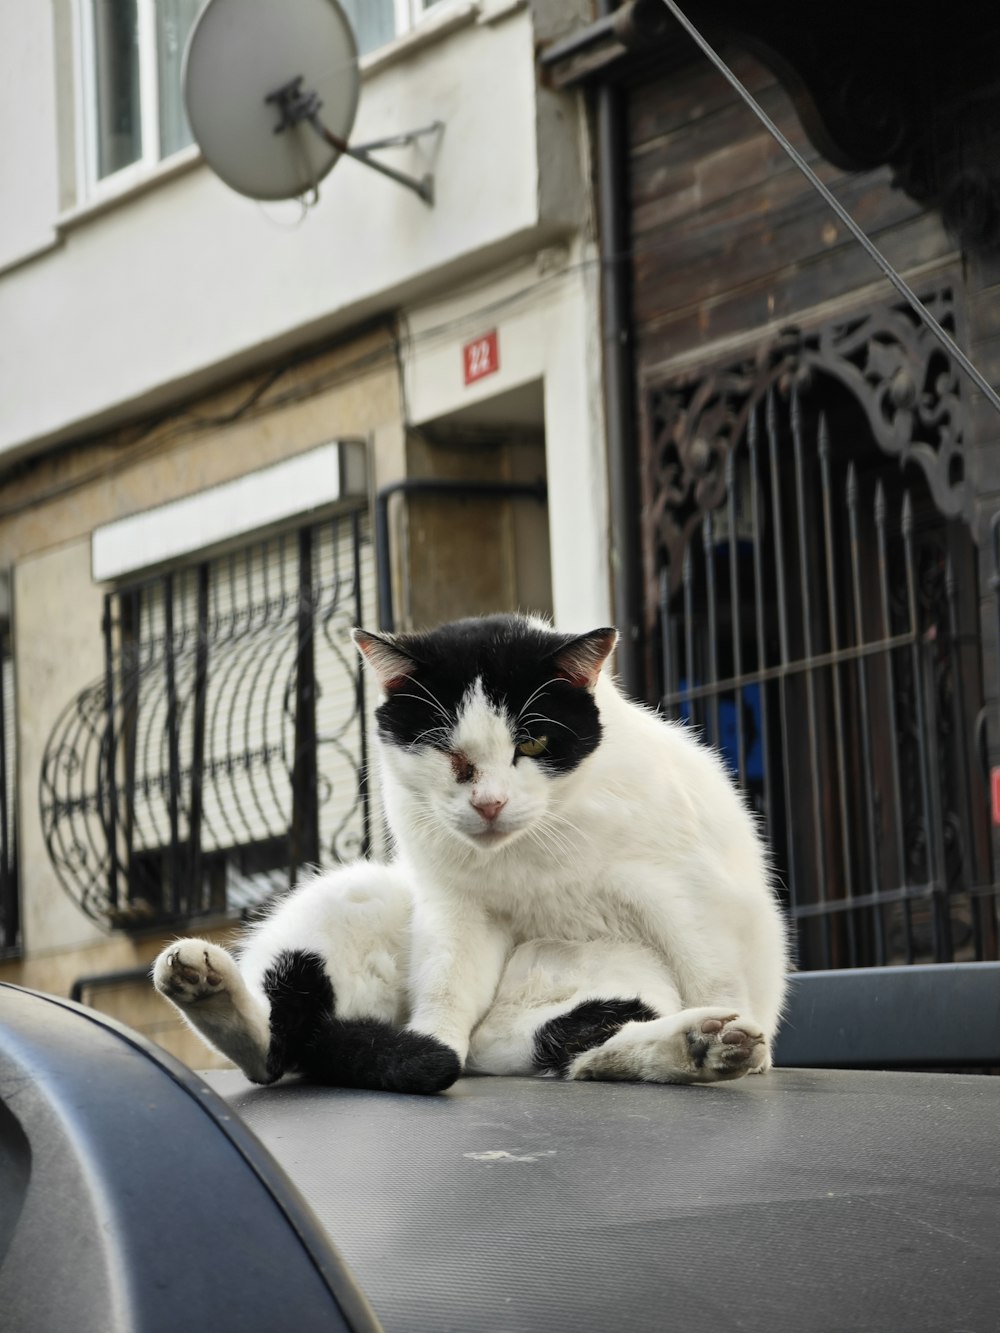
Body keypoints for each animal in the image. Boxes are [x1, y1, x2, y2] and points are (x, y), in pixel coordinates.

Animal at [152, 613, 789, 1093]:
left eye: (533, 742)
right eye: (444, 750)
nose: (489, 802)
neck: (538, 849)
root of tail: (492, 1051)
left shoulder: (685, 896)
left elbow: (713, 972)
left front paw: (749, 1052)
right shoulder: (456, 909)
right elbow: (446, 986)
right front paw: (430, 1045)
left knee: (589, 1049)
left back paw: (710, 1046)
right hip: (356, 892)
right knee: (280, 1047)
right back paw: (204, 984)